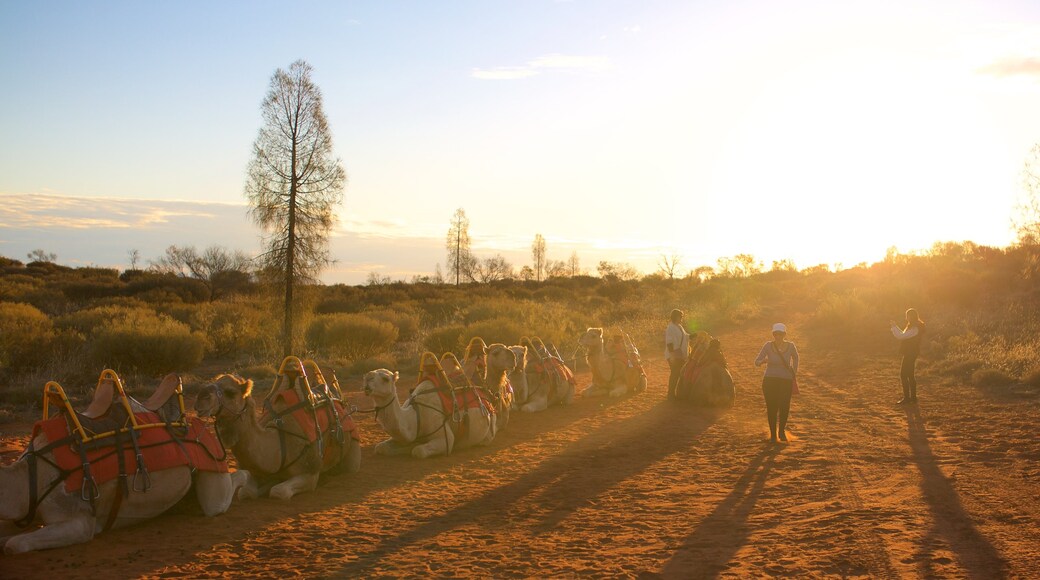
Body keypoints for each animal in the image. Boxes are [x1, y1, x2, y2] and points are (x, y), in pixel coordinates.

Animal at [0, 374, 251, 557]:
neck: (29, 475)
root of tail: (202, 426)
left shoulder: (80, 521)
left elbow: (14, 544)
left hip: (213, 473)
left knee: (224, 492)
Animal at [195, 367, 361, 505]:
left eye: (230, 392)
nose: (200, 398)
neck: (279, 444)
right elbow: (246, 492)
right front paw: (267, 483)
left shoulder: (311, 472)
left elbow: (278, 491)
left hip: (352, 448)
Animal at [364, 365, 497, 461]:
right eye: (367, 377)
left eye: (385, 379)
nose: (367, 377)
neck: (416, 417)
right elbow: (380, 447)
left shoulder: (444, 436)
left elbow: (418, 451)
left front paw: (411, 447)